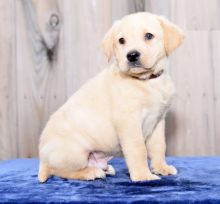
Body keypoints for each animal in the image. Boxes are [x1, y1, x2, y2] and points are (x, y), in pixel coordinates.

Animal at [38, 11, 184, 182]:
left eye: (149, 36)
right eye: (121, 40)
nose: (131, 55)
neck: (146, 82)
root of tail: (42, 159)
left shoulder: (158, 121)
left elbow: (158, 147)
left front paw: (161, 168)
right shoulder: (128, 122)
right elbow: (139, 149)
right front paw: (143, 176)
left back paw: (104, 168)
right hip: (74, 153)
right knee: (59, 170)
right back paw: (90, 172)